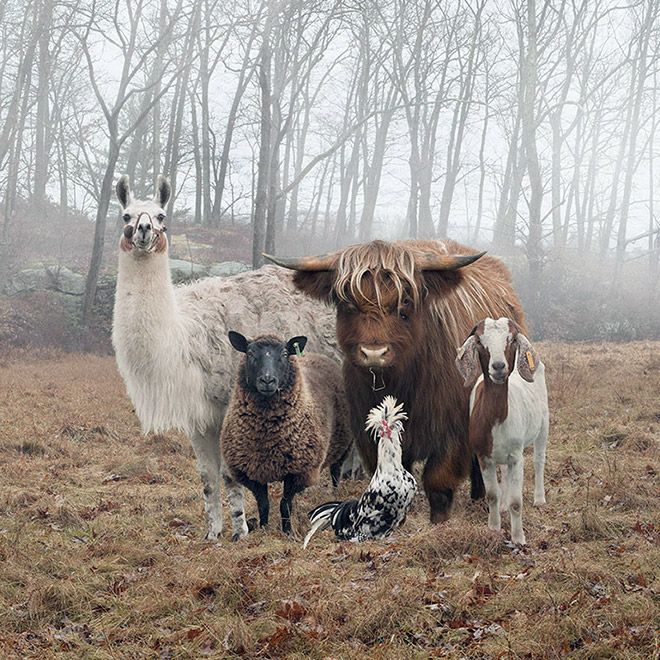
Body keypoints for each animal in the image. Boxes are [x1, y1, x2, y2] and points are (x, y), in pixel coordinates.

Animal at [220, 332, 356, 532]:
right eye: (250, 353)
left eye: (284, 354)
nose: (267, 380)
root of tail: (320, 356)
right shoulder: (252, 471)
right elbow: (264, 504)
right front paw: (264, 528)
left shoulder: (298, 472)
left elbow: (285, 504)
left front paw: (287, 530)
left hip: (343, 444)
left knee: (335, 471)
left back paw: (334, 493)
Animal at [266, 240, 528, 524]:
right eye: (347, 303)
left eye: (406, 302)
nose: (374, 353)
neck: (402, 383)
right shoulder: (369, 432)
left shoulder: (452, 430)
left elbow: (438, 481)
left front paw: (438, 522)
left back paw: (480, 496)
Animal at [456, 318, 548, 544]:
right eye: (479, 341)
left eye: (512, 339)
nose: (498, 366)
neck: (497, 418)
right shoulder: (483, 456)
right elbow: (492, 495)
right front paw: (494, 528)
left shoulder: (516, 456)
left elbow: (517, 501)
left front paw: (518, 538)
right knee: (505, 473)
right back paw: (504, 507)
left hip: (544, 424)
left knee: (539, 460)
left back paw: (539, 499)